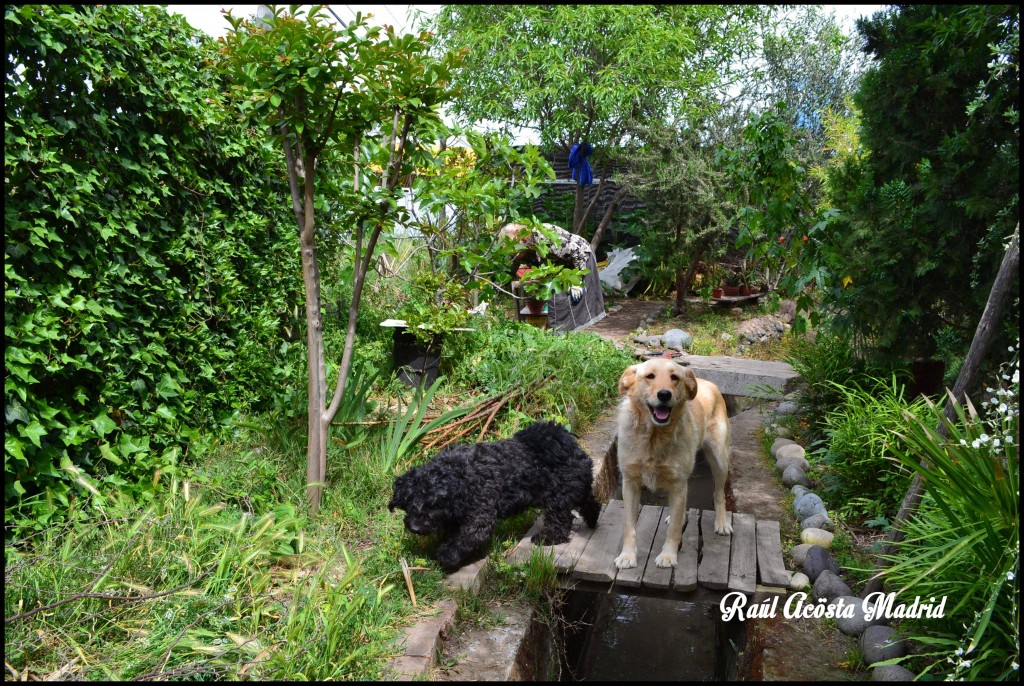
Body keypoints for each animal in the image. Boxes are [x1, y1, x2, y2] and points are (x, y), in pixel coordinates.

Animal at [387, 421, 602, 573]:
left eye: (433, 504)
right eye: (409, 502)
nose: (415, 527)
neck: (459, 477)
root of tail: (566, 442)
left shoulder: (479, 519)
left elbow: (464, 539)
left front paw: (447, 556)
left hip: (558, 496)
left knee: (560, 519)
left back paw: (547, 537)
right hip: (577, 487)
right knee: (591, 502)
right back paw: (593, 519)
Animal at [610, 358, 733, 573]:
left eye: (674, 377)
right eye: (650, 376)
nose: (664, 394)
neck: (653, 437)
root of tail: (709, 383)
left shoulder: (677, 484)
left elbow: (674, 530)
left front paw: (668, 556)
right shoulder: (630, 483)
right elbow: (629, 526)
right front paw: (627, 556)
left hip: (719, 459)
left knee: (718, 493)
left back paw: (722, 522)